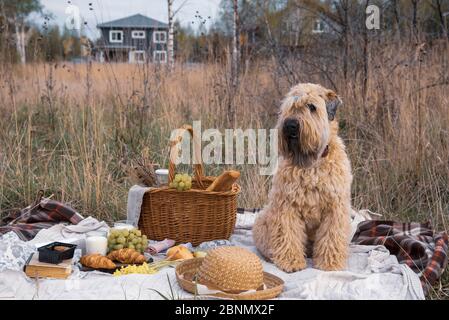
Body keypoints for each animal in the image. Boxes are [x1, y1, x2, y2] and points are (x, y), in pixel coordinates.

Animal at [252, 82, 350, 272]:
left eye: (312, 107)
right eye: (289, 107)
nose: (290, 125)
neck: (311, 162)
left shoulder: (335, 207)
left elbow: (331, 236)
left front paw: (329, 263)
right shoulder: (287, 205)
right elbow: (288, 234)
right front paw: (291, 261)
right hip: (264, 218)